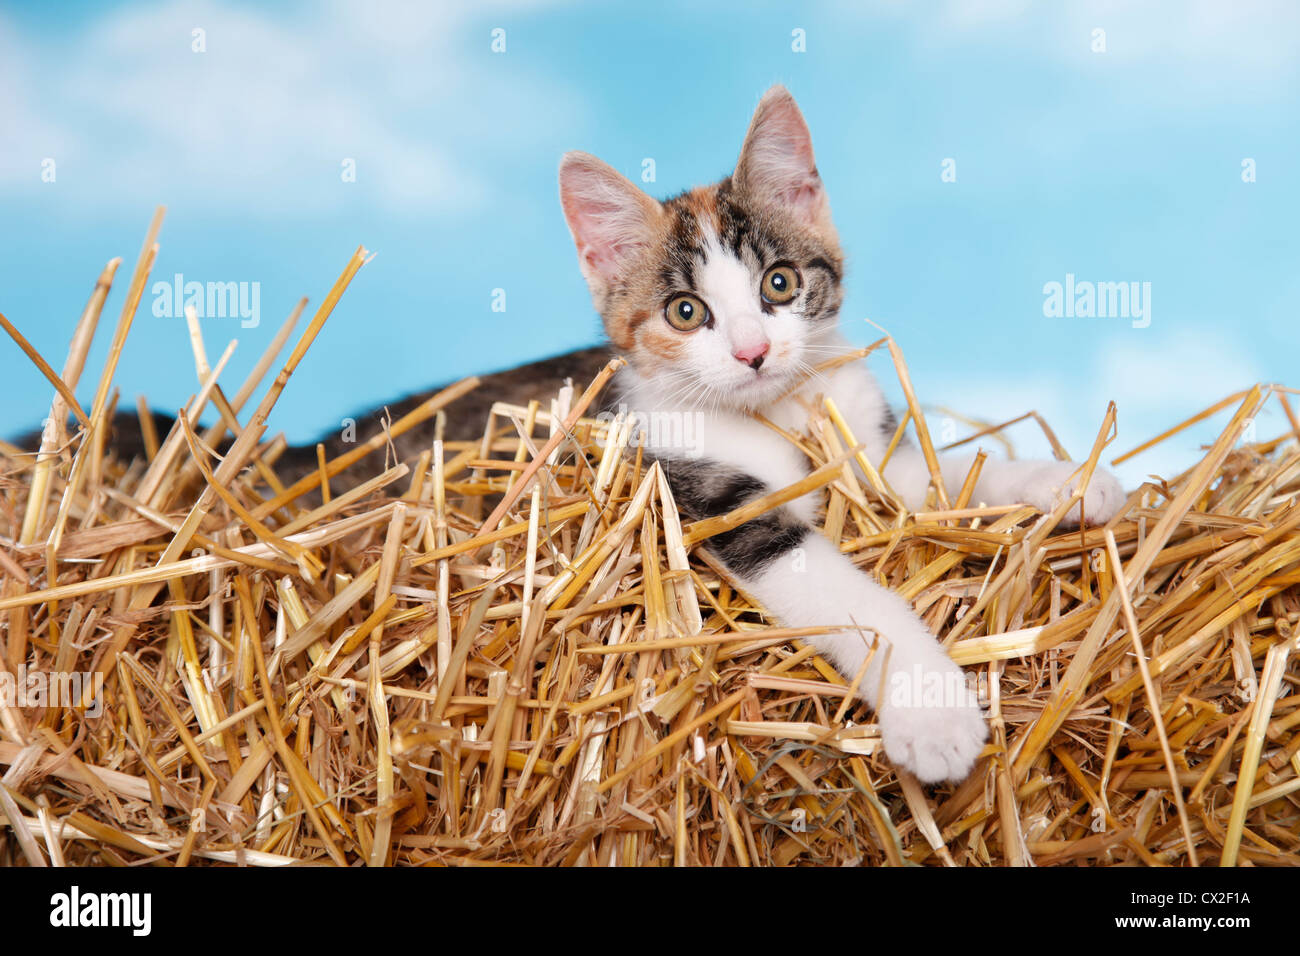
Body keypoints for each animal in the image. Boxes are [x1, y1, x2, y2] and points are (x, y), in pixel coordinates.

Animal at [559, 83, 1128, 785]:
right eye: (685, 312)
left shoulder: (866, 446)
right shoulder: (709, 492)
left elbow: (941, 471)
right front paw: (932, 711)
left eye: (780, 282)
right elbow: (843, 591)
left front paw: (1062, 479)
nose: (753, 352)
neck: (779, 410)